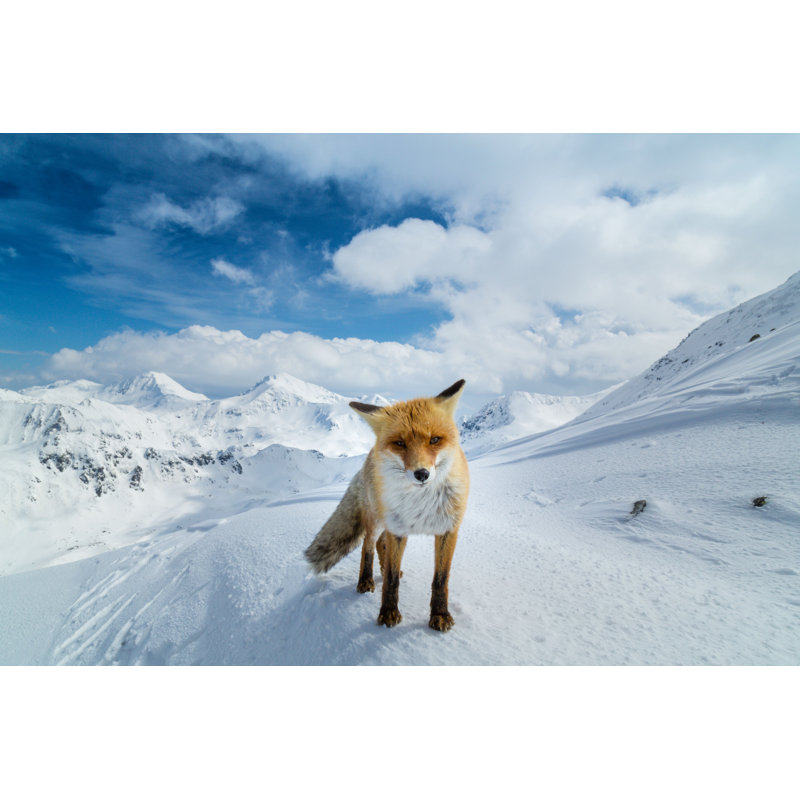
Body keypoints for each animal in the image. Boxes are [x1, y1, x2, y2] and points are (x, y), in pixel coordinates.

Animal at [304, 379, 469, 632]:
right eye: (400, 443)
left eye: (434, 440)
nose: (421, 474)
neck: (421, 503)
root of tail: (369, 456)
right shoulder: (398, 530)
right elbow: (390, 580)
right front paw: (388, 613)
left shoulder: (448, 530)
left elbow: (440, 579)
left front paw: (440, 615)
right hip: (376, 519)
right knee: (369, 545)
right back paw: (366, 581)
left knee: (381, 543)